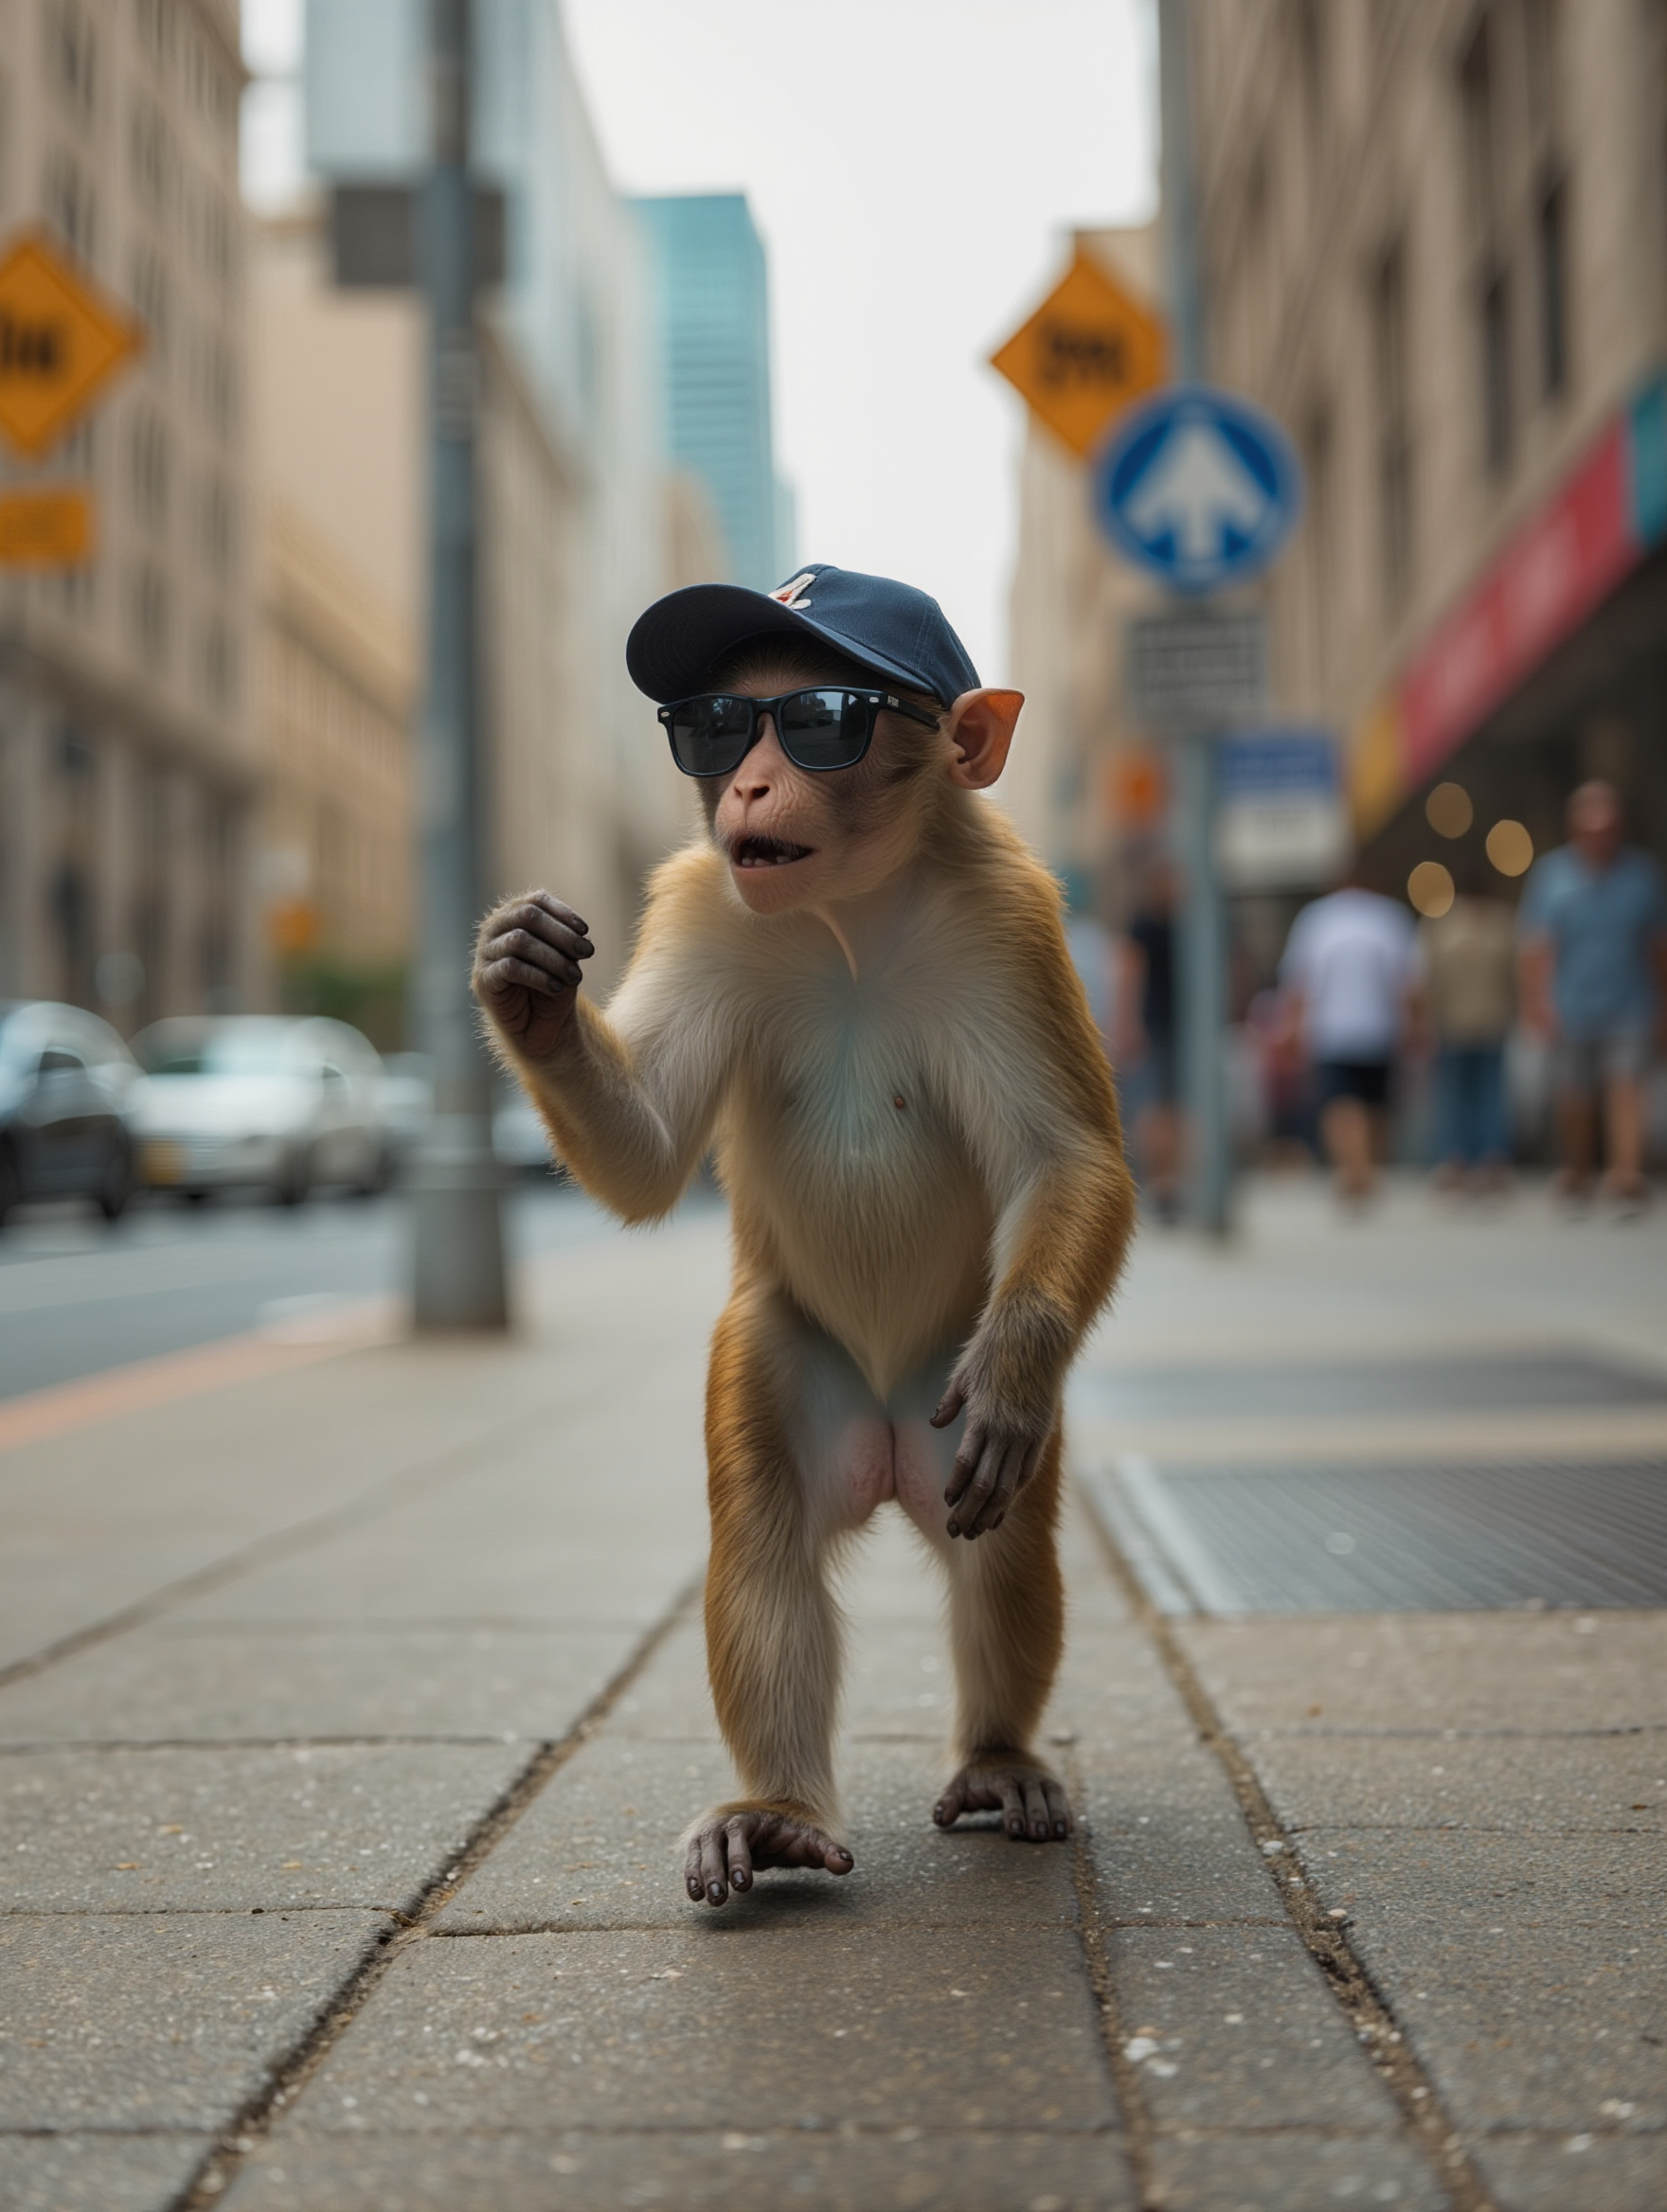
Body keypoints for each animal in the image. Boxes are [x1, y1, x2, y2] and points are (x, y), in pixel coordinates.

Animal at [472, 564, 1134, 1908]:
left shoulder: (1011, 921)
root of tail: (882, 1445)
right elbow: (650, 1152)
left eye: (824, 721)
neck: (848, 918)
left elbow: (1066, 1157)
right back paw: (777, 1812)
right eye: (719, 727)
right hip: (788, 1360)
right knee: (764, 1533)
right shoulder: (698, 903)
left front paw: (1021, 1353)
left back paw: (996, 1755)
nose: (748, 788)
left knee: (1001, 1551)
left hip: (938, 1402)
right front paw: (529, 988)